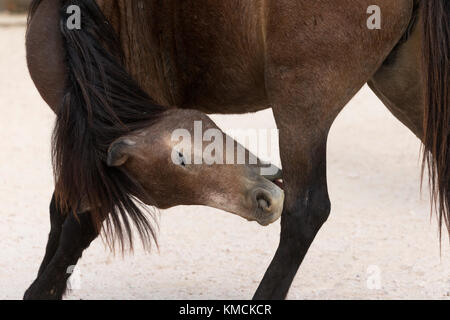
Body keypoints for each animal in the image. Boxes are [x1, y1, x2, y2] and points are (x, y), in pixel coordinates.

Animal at [25, 0, 450, 300]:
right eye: (182, 157)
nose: (265, 194)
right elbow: (60, 211)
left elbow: (78, 222)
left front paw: (41, 290)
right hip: (406, 88)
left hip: (302, 96)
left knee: (306, 210)